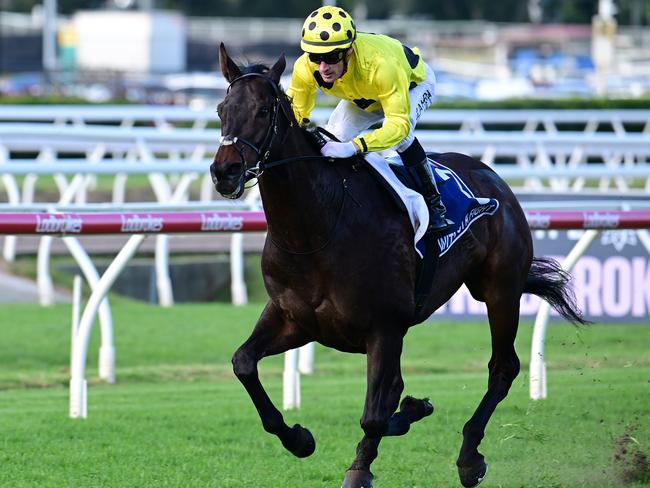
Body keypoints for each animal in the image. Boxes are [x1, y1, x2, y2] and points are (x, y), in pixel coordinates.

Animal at [210, 43, 584, 488]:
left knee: (502, 367)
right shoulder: (294, 319)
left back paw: (469, 457)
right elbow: (244, 363)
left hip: (500, 288)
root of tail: (495, 180)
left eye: (264, 111)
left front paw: (365, 461)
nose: (224, 171)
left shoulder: (384, 327)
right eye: (221, 109)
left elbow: (373, 415)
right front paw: (300, 438)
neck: (318, 228)